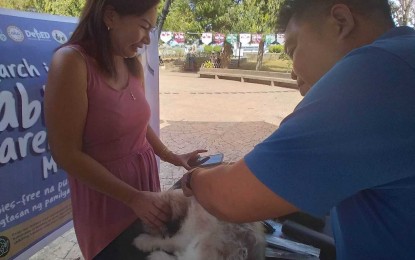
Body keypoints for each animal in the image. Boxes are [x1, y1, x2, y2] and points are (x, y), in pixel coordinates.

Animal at [133, 189, 264, 260]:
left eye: (152, 220)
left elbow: (164, 241)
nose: (141, 223)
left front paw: (143, 241)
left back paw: (157, 256)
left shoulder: (184, 236)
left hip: (203, 241)